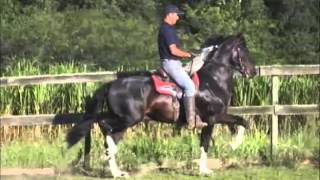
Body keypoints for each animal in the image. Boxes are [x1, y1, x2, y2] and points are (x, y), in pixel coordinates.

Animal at [66, 33, 256, 176]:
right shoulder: (213, 118)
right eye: (243, 51)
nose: (253, 72)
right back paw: (110, 159)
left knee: (108, 131)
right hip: (129, 119)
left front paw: (227, 149)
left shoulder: (215, 119)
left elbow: (236, 125)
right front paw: (222, 155)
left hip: (123, 120)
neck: (213, 80)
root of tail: (111, 84)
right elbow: (227, 130)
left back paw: (116, 171)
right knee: (104, 126)